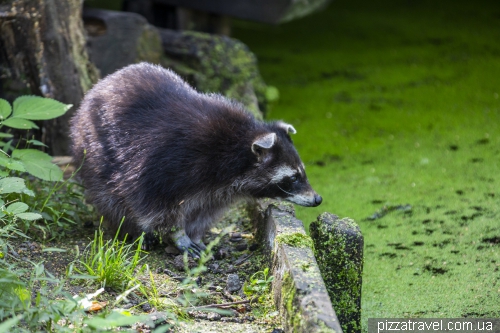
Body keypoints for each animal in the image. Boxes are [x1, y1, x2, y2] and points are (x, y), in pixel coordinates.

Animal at [69, 62, 320, 256]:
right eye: (293, 177)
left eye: (303, 172)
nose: (318, 199)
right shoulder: (166, 163)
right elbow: (154, 206)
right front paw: (178, 235)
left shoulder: (218, 191)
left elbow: (204, 211)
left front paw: (196, 234)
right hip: (92, 150)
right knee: (109, 197)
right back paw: (133, 230)